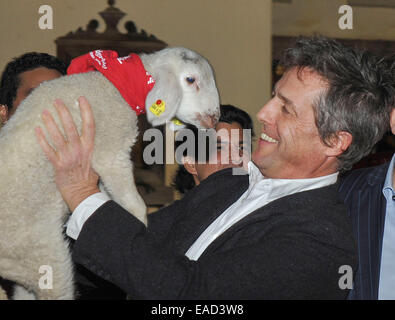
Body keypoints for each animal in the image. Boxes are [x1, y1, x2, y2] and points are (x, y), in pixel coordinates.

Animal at [0, 47, 220, 300]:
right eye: (191, 80)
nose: (214, 118)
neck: (119, 84)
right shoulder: (111, 152)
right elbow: (135, 204)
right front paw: (138, 225)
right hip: (44, 257)